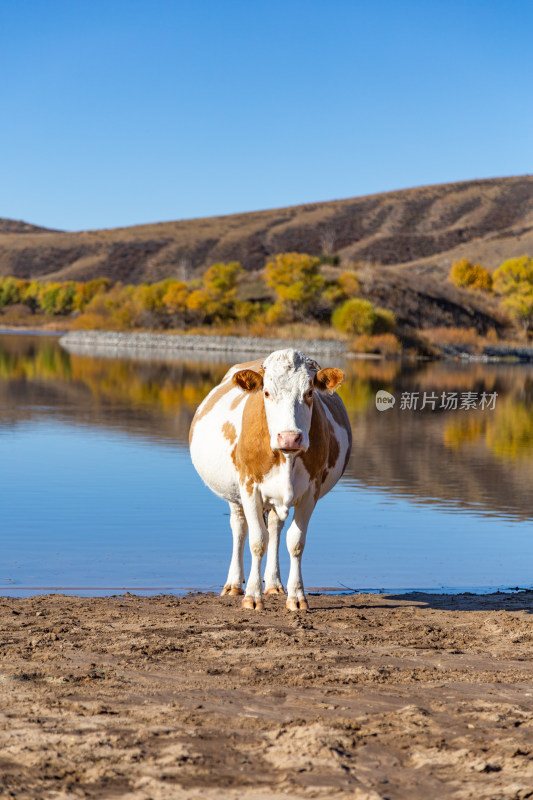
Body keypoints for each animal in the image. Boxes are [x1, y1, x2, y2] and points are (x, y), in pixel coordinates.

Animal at [189, 348, 352, 612]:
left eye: (309, 392)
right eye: (266, 392)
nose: (289, 438)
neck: (286, 457)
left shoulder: (311, 491)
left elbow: (295, 542)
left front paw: (297, 597)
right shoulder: (249, 487)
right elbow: (257, 541)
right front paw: (252, 596)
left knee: (275, 528)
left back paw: (274, 584)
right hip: (234, 495)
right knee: (239, 529)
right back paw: (234, 584)